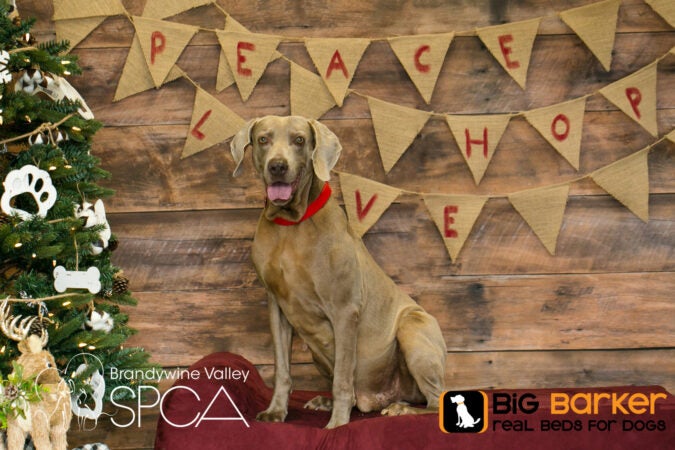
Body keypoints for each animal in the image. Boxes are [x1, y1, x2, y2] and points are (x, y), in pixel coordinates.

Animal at [232, 116, 448, 428]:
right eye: (263, 139)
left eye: (299, 140)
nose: (277, 166)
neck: (290, 225)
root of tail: (378, 399)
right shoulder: (277, 308)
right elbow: (282, 369)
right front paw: (276, 411)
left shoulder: (345, 310)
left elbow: (343, 379)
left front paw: (337, 424)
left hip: (413, 329)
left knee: (436, 399)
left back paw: (401, 410)